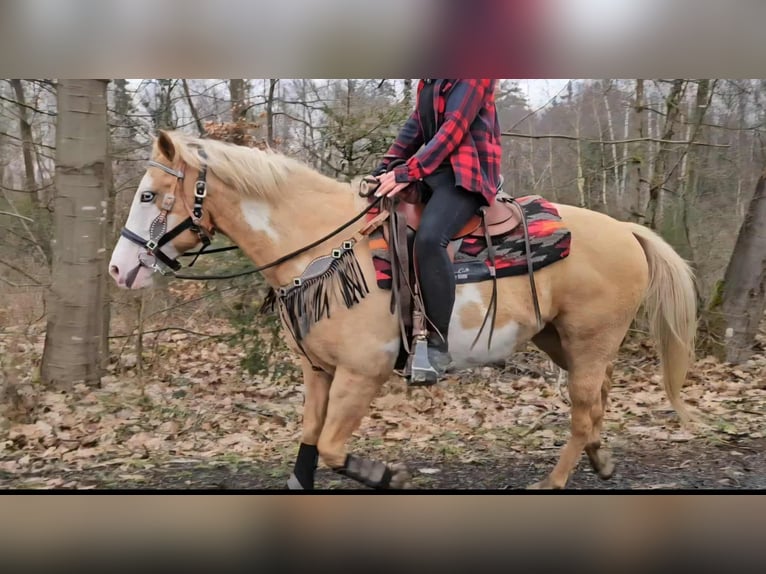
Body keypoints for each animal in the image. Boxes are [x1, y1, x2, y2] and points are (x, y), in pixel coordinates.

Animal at [108, 130, 698, 489]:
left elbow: (332, 447)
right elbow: (308, 443)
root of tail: (625, 230)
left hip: (589, 340)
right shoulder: (318, 373)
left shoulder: (361, 373)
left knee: (581, 410)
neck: (324, 246)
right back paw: (601, 458)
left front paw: (385, 475)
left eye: (148, 195)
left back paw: (554, 480)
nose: (119, 269)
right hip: (562, 340)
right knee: (597, 401)